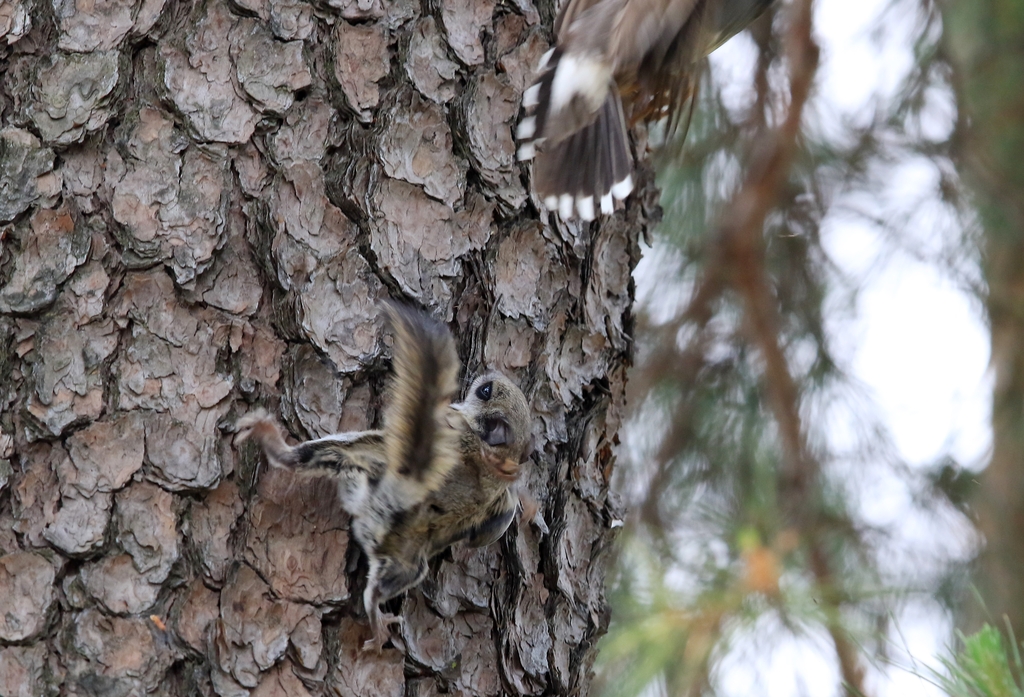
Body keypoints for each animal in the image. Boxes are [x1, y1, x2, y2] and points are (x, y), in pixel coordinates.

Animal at [234, 305, 532, 650]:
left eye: (486, 392)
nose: (487, 374)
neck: (494, 453)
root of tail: (402, 497)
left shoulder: (450, 423)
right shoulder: (503, 503)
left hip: (357, 453)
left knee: (302, 459)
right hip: (408, 563)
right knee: (383, 584)